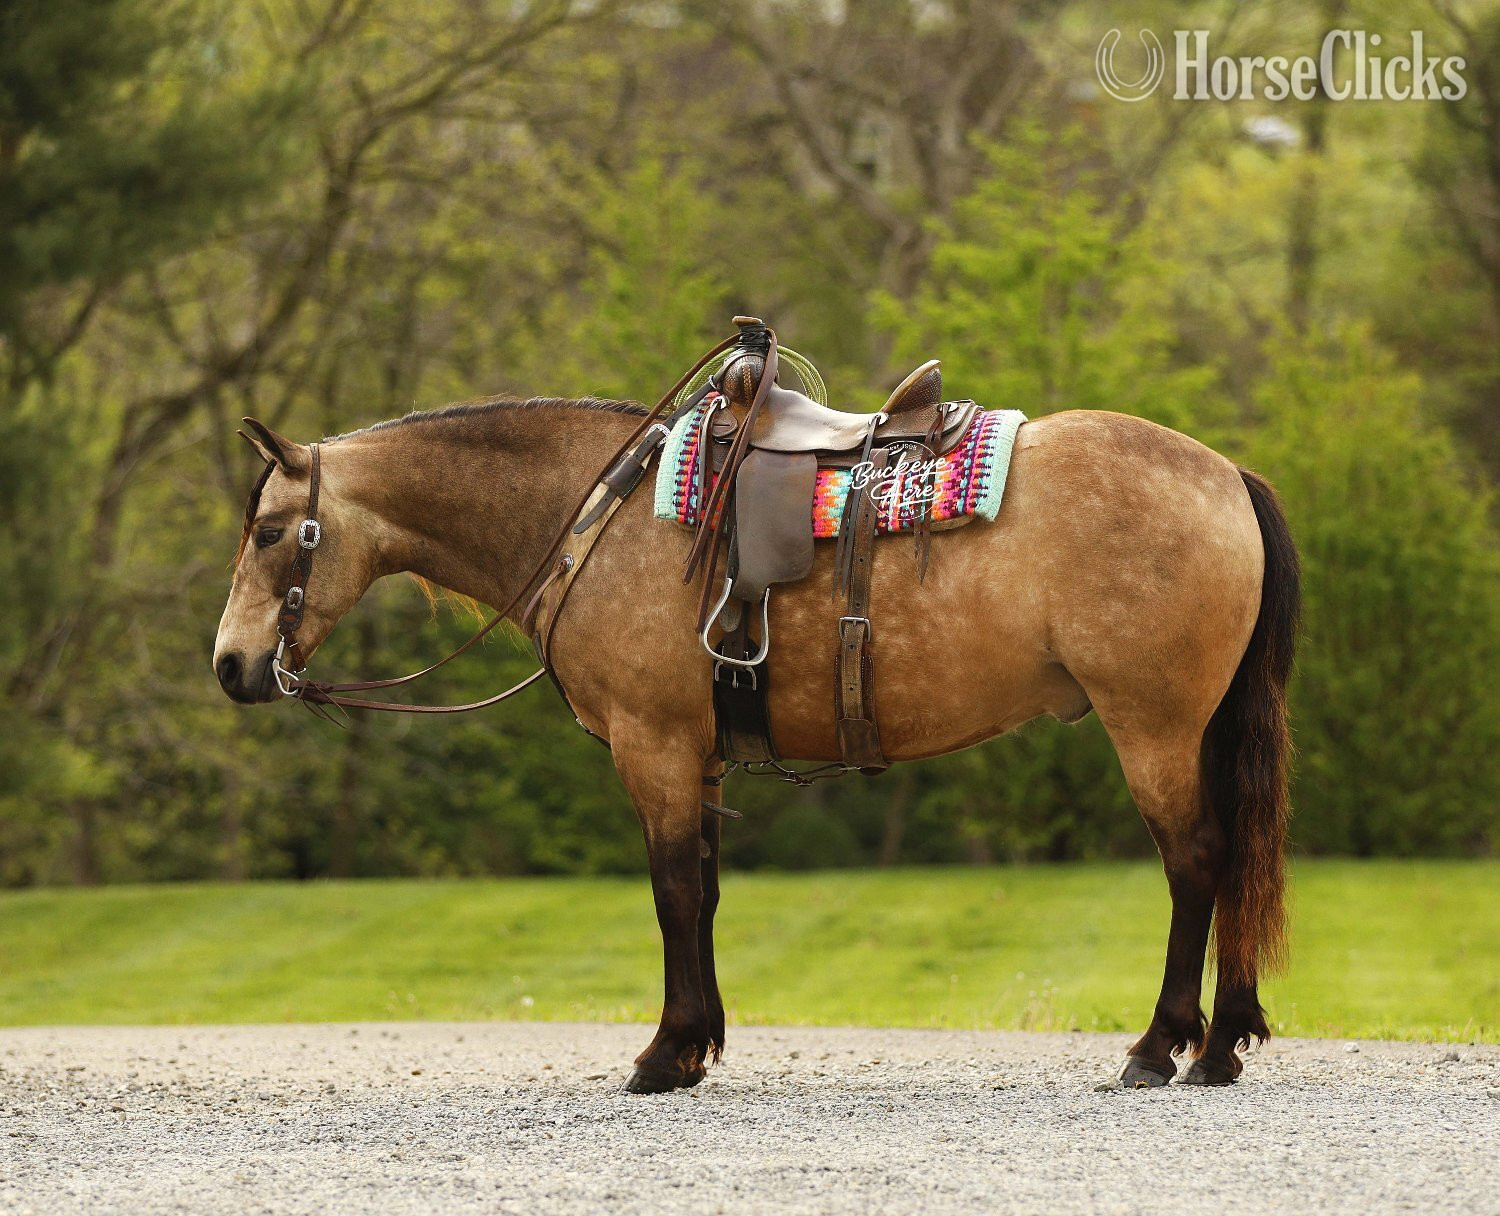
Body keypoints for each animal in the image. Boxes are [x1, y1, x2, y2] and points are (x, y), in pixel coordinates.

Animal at [213, 391, 1299, 1094]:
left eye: (269, 530)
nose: (231, 665)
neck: (598, 518)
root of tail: (1226, 474)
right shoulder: (692, 758)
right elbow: (704, 894)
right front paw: (699, 1045)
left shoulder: (651, 748)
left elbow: (672, 894)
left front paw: (663, 1054)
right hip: (1198, 728)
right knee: (1234, 856)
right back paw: (1222, 1045)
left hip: (1153, 726)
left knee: (1198, 861)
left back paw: (1161, 1045)